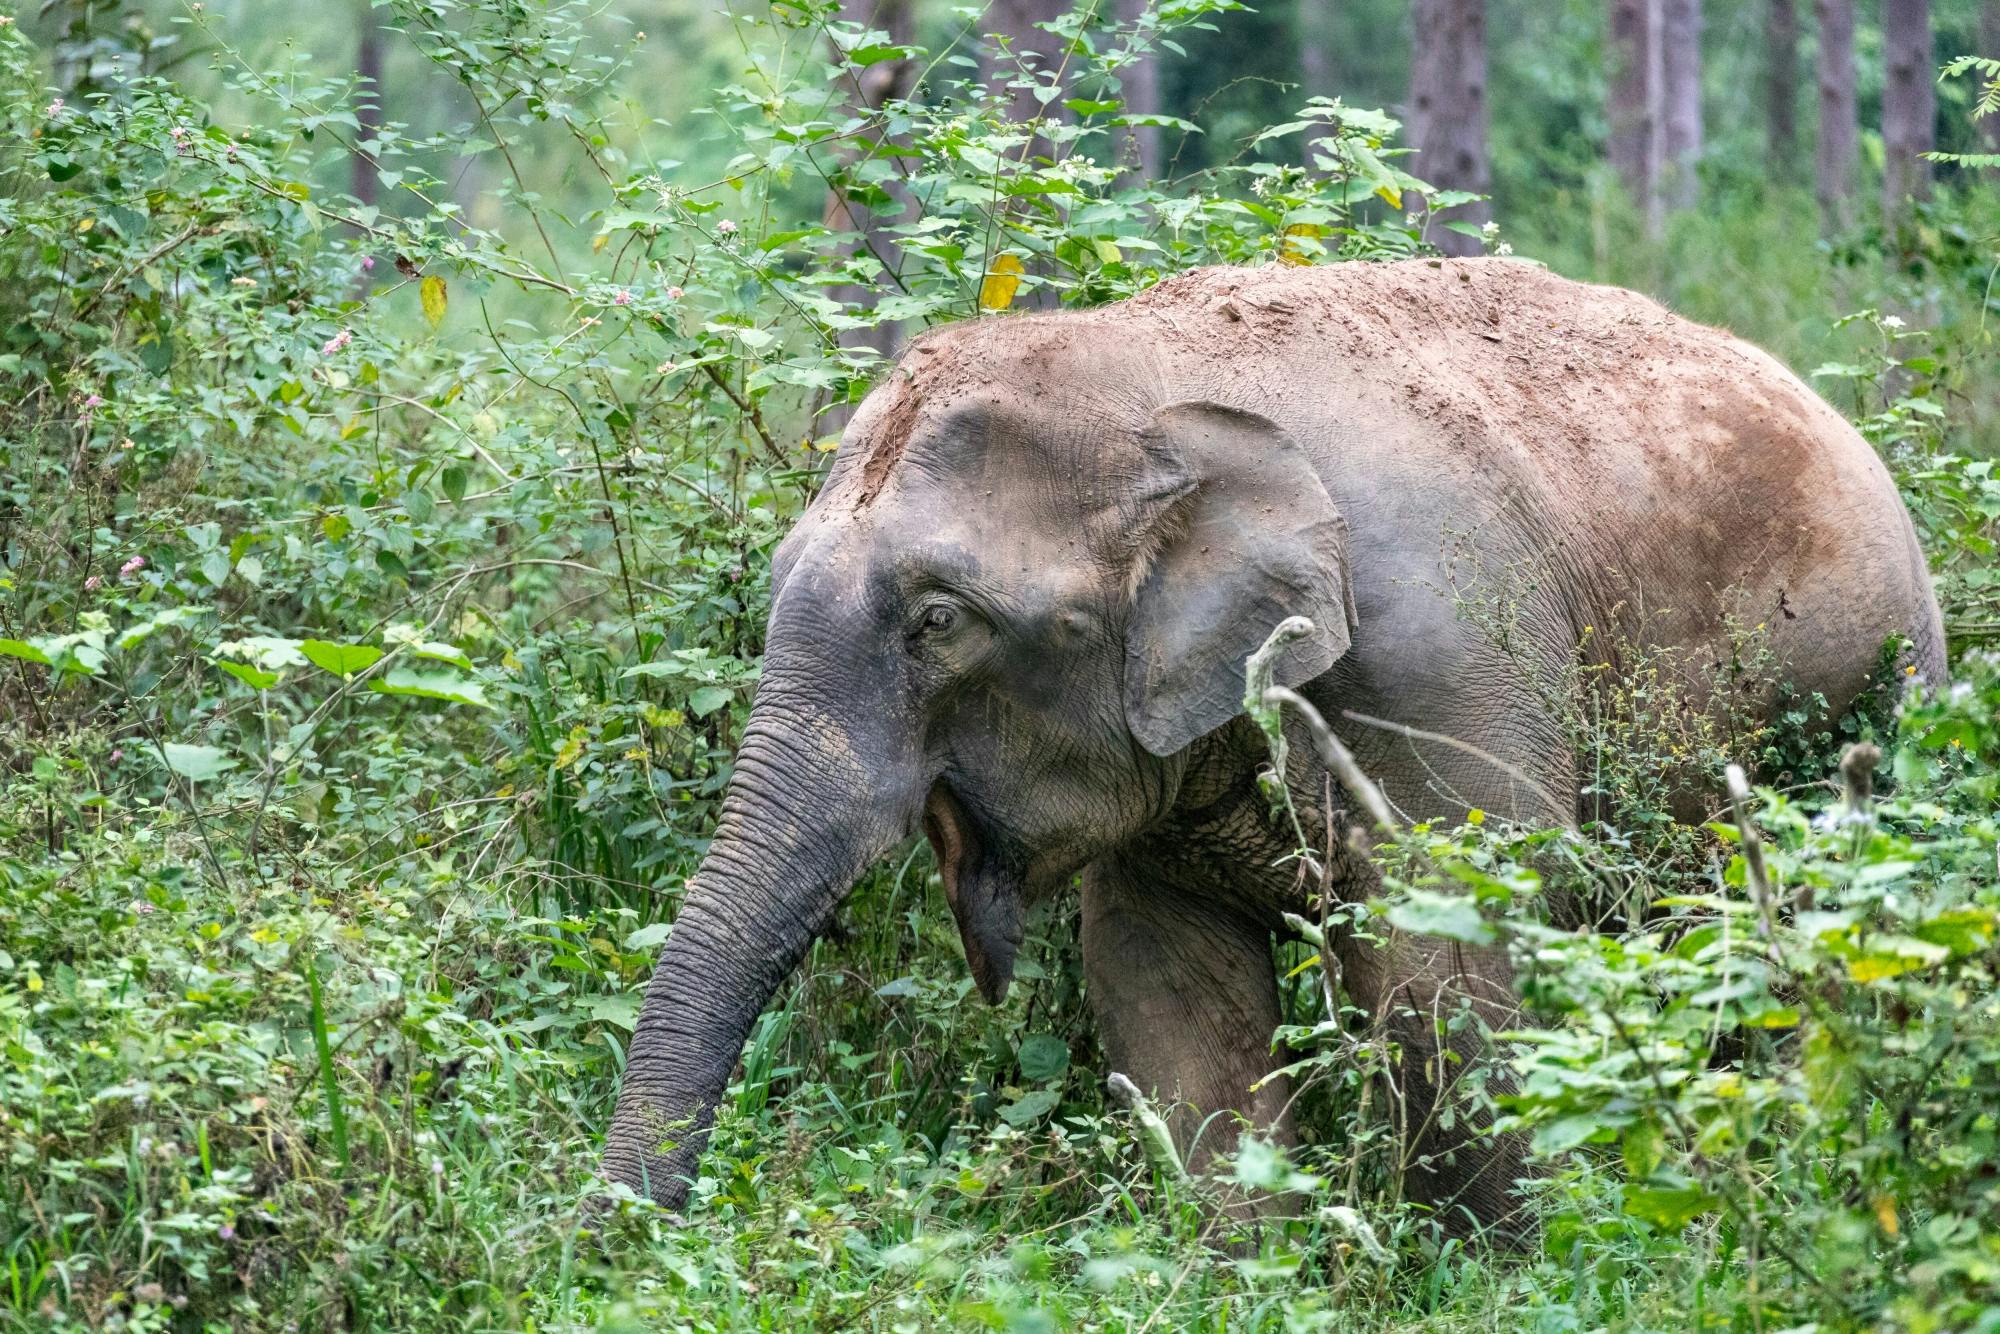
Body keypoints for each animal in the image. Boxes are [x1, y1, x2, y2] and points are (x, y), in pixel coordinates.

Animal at [600, 258, 1945, 1235]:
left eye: (937, 619)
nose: (627, 1242)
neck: (1140, 370)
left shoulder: (1442, 655)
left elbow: (1445, 952)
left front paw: (1508, 1266)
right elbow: (1165, 990)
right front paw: (1247, 1266)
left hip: (1871, 693)